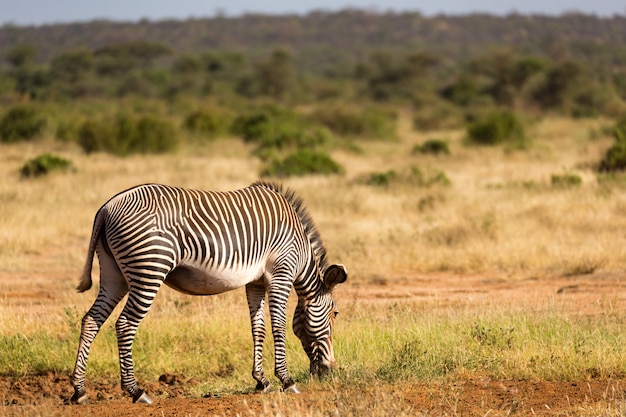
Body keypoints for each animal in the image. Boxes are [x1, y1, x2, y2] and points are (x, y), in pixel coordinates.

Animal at [72, 181, 352, 404]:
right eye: (335, 313)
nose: (329, 369)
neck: (300, 251)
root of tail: (107, 207)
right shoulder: (281, 274)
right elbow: (278, 327)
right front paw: (286, 380)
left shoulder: (256, 282)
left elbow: (258, 329)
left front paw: (261, 381)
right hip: (149, 269)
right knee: (125, 324)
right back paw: (136, 391)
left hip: (114, 275)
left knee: (91, 320)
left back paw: (79, 391)